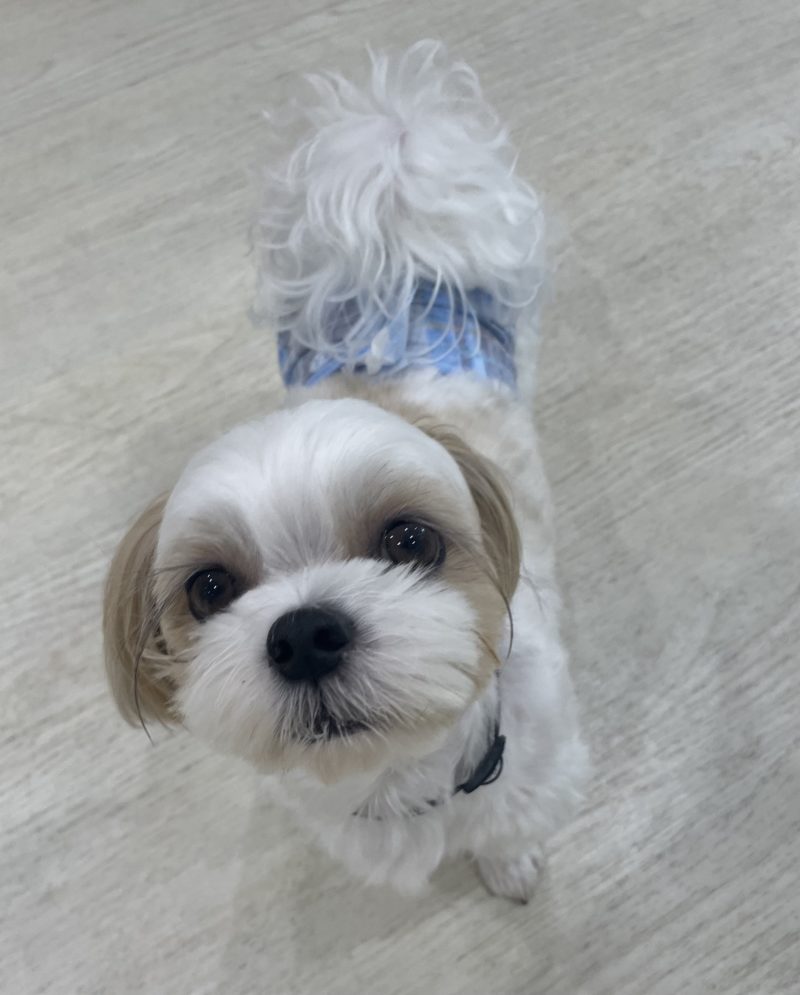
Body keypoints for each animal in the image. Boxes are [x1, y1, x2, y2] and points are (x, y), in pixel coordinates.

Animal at [104, 42, 587, 902]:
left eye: (409, 540)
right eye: (210, 588)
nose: (303, 634)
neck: (403, 771)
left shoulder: (537, 770)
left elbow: (510, 828)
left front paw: (511, 864)